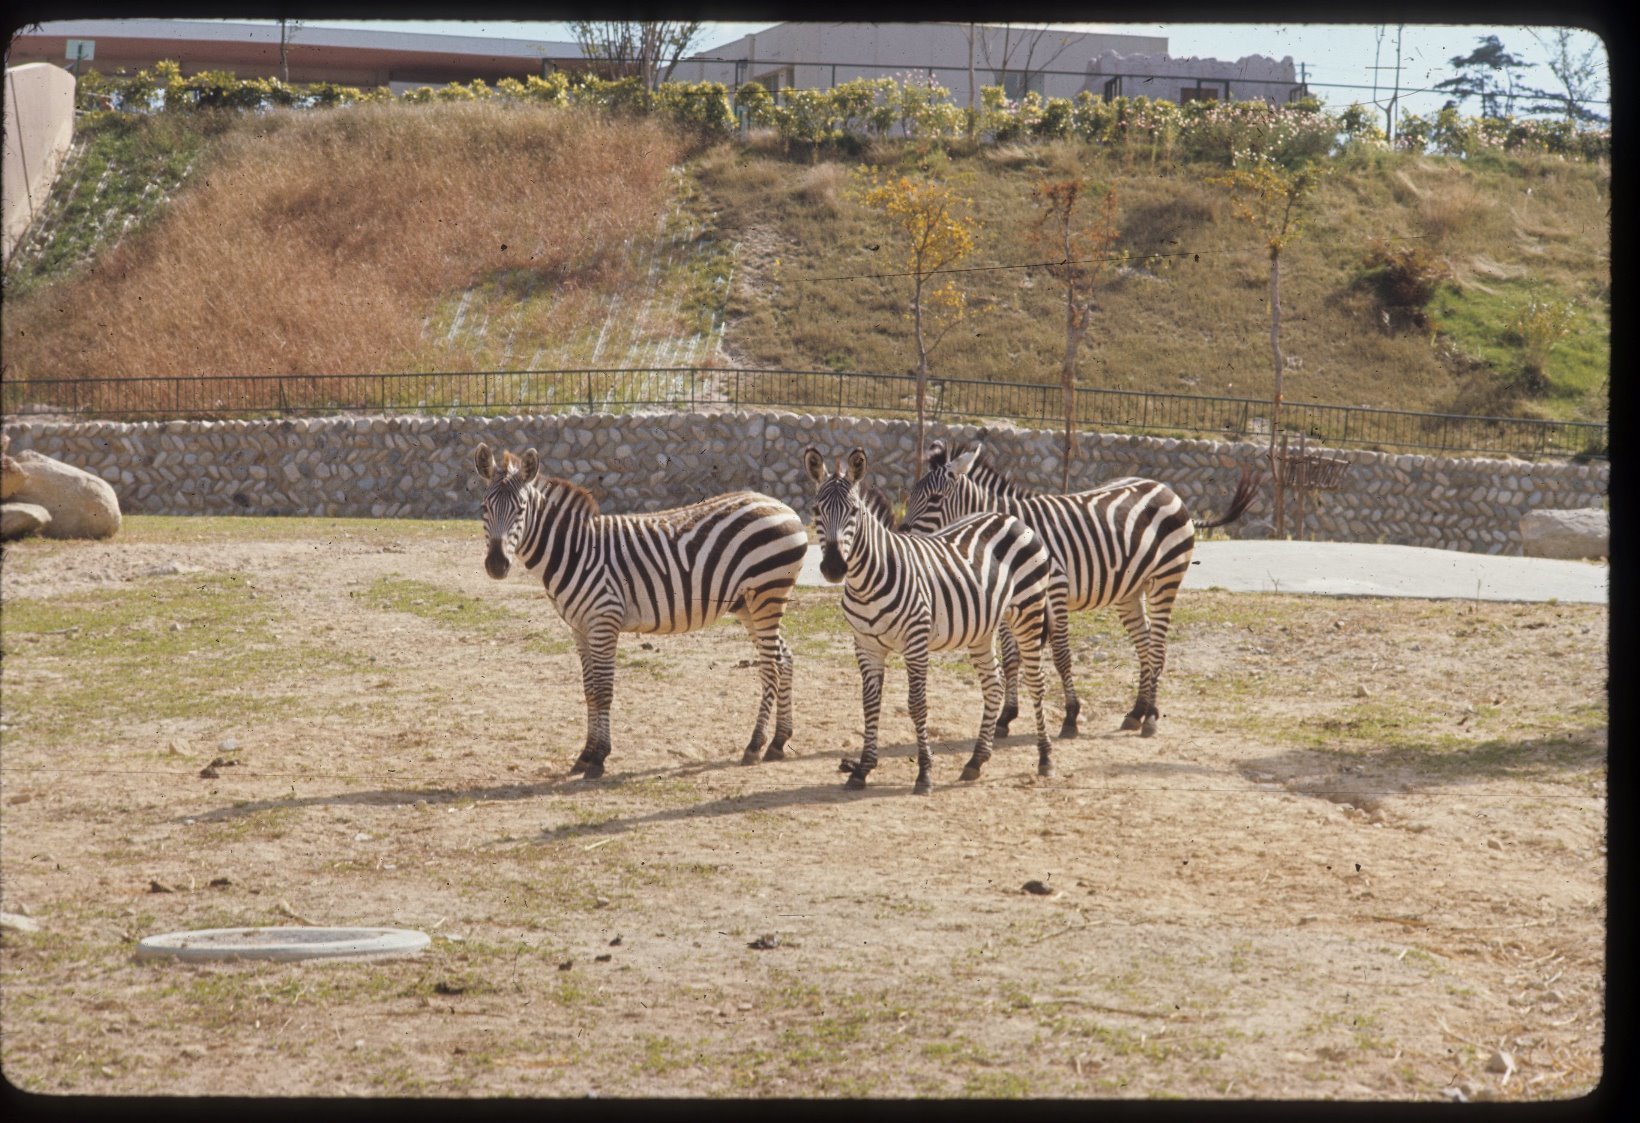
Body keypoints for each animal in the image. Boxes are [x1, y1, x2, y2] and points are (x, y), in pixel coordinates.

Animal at [475, 442, 806, 773]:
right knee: (784, 658)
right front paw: (586, 754)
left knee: (771, 666)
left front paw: (598, 758)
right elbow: (589, 690)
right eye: (484, 508)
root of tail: (782, 506)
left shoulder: (604, 620)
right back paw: (778, 742)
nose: (496, 565)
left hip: (766, 593)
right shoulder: (580, 628)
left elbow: (603, 690)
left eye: (521, 509)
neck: (575, 550)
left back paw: (754, 745)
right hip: (749, 604)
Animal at [800, 442, 1056, 793]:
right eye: (816, 510)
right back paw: (976, 761)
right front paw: (862, 770)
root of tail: (1009, 517)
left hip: (1028, 611)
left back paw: (1045, 757)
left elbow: (917, 705)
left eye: (854, 511)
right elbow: (870, 703)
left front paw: (924, 773)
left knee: (1036, 681)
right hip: (983, 627)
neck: (868, 581)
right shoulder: (865, 644)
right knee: (994, 685)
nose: (834, 568)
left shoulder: (915, 642)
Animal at [898, 442, 1252, 741]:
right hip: (1129, 591)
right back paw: (1136, 712)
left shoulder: (1054, 588)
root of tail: (1165, 488)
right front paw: (1006, 718)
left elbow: (1061, 656)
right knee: (1145, 644)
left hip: (1165, 579)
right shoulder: (1009, 601)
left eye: (934, 499)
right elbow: (1011, 660)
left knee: (1158, 646)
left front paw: (1070, 717)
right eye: (910, 494)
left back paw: (1151, 718)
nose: (901, 535)